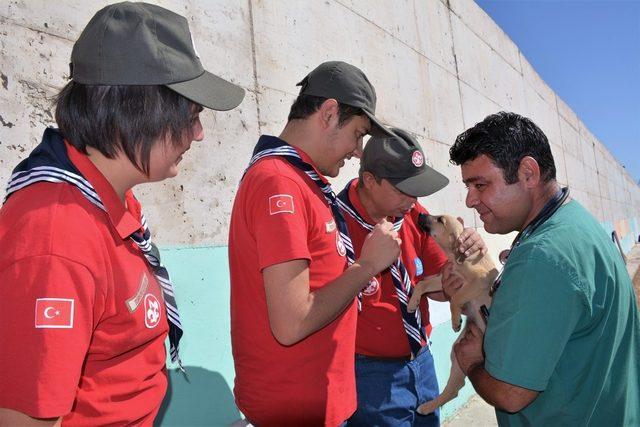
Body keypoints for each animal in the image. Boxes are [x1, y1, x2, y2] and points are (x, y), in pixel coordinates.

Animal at [408, 214, 498, 414]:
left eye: (440, 220)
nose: (420, 214)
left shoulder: (479, 280)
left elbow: (456, 298)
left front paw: (455, 320)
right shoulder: (445, 278)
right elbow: (422, 284)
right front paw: (412, 302)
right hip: (457, 351)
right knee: (454, 389)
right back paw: (428, 406)